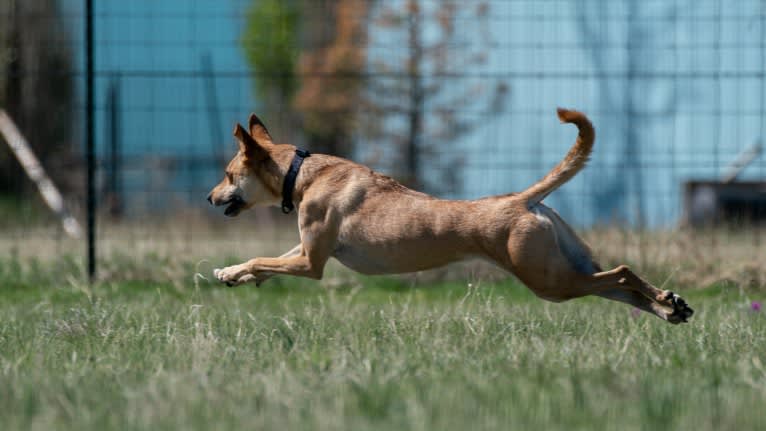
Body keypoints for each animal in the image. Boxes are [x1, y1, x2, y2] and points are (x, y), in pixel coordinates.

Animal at [208, 109, 696, 326]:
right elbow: (262, 263)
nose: (210, 197)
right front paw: (232, 273)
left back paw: (665, 302)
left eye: (229, 174)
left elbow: (265, 260)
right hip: (564, 264)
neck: (301, 173)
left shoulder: (311, 262)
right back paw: (670, 305)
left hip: (549, 279)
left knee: (621, 272)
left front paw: (233, 272)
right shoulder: (307, 249)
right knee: (620, 283)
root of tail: (522, 200)